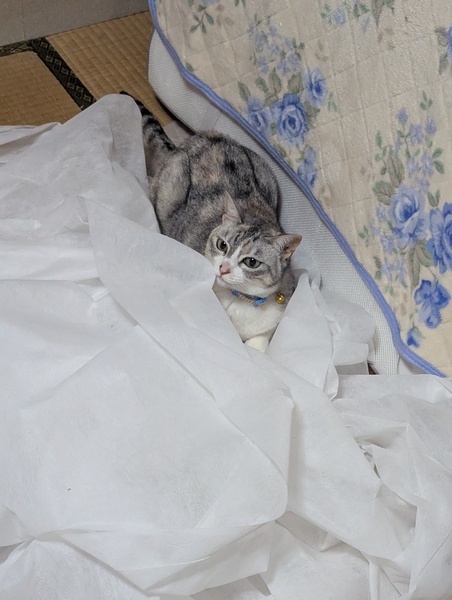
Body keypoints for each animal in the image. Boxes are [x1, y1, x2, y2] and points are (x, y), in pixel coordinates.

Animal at [123, 92, 302, 352]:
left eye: (251, 262)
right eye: (221, 245)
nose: (223, 268)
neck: (240, 301)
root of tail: (201, 138)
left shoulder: (265, 329)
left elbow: (258, 345)